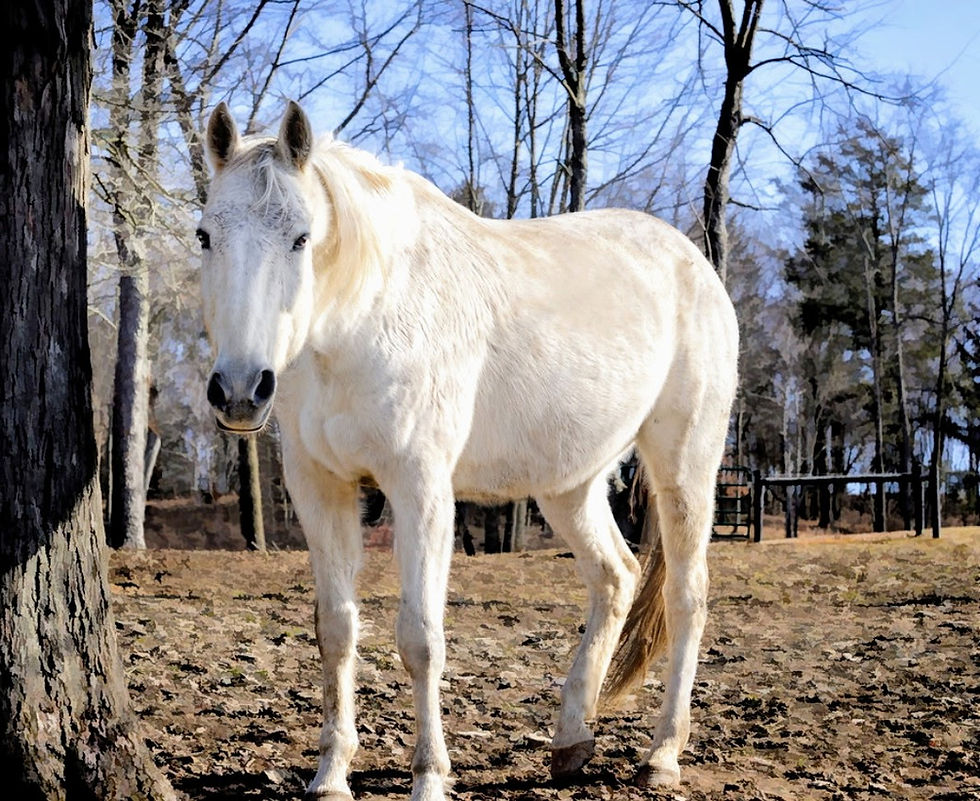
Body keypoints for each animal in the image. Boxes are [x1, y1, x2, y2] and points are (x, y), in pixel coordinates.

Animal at [197, 100, 739, 801]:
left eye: (301, 237)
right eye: (206, 236)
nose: (239, 389)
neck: (364, 319)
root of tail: (693, 262)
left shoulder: (421, 487)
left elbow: (421, 638)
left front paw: (429, 775)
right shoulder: (320, 487)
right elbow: (336, 630)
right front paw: (331, 774)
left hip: (684, 468)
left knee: (685, 596)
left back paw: (663, 754)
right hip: (570, 484)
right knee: (616, 576)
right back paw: (571, 741)